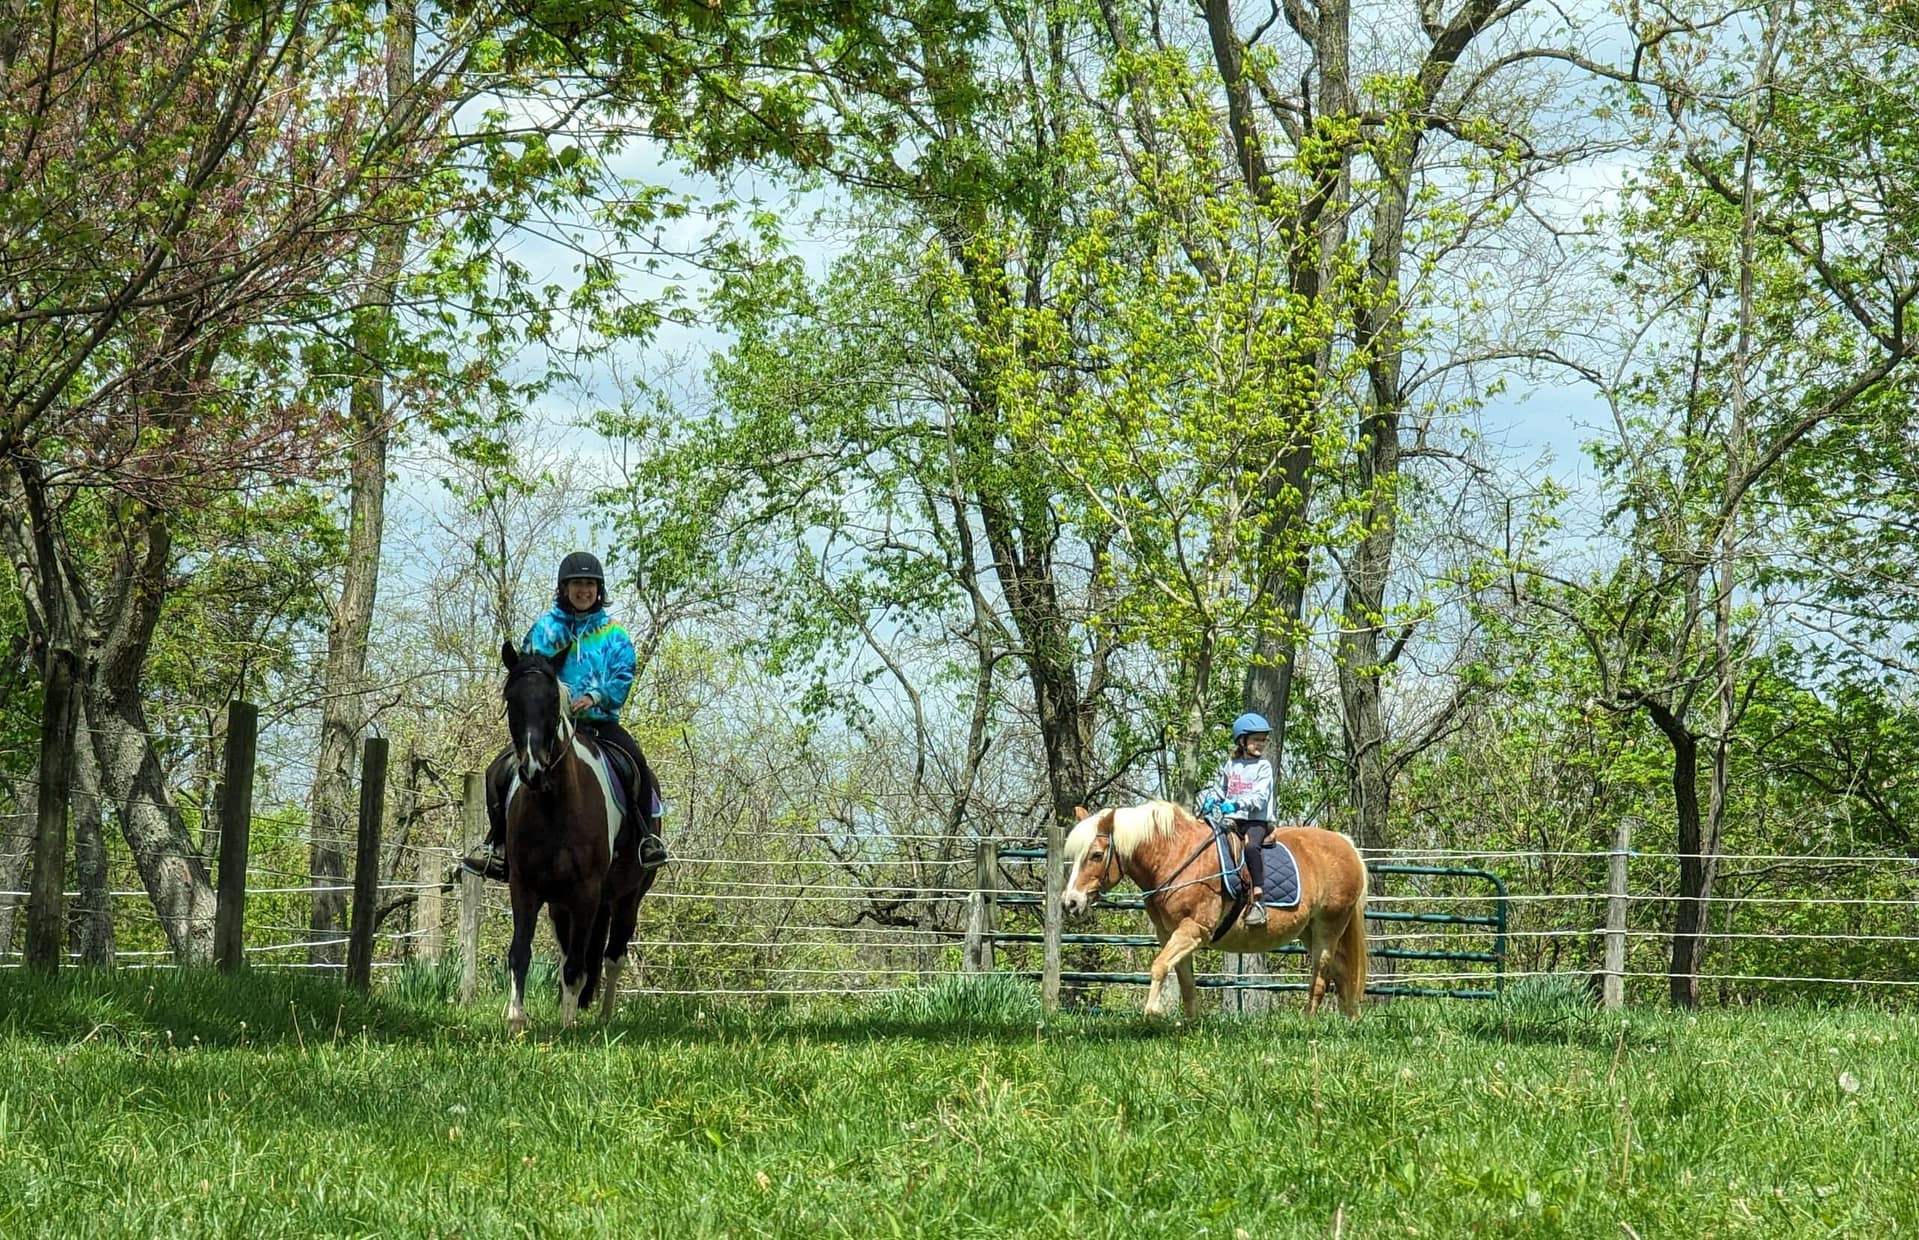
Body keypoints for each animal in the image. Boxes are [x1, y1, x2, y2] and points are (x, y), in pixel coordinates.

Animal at [497, 639, 657, 1034]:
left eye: (553, 701)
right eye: (512, 699)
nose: (533, 769)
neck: (554, 807)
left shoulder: (587, 892)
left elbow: (576, 965)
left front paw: (566, 1025)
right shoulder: (525, 887)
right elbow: (521, 953)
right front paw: (516, 1019)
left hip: (628, 898)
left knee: (613, 956)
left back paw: (604, 1017)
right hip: (562, 905)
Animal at [1060, 800, 1368, 1019]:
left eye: (1096, 855)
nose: (1070, 902)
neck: (1176, 857)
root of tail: (1347, 846)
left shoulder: (1194, 930)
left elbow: (1159, 966)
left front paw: (1153, 1012)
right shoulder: (1171, 934)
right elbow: (1185, 981)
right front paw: (1191, 1023)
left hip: (1329, 927)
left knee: (1322, 976)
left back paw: (1309, 1022)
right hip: (1309, 931)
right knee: (1341, 973)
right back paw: (1351, 1020)